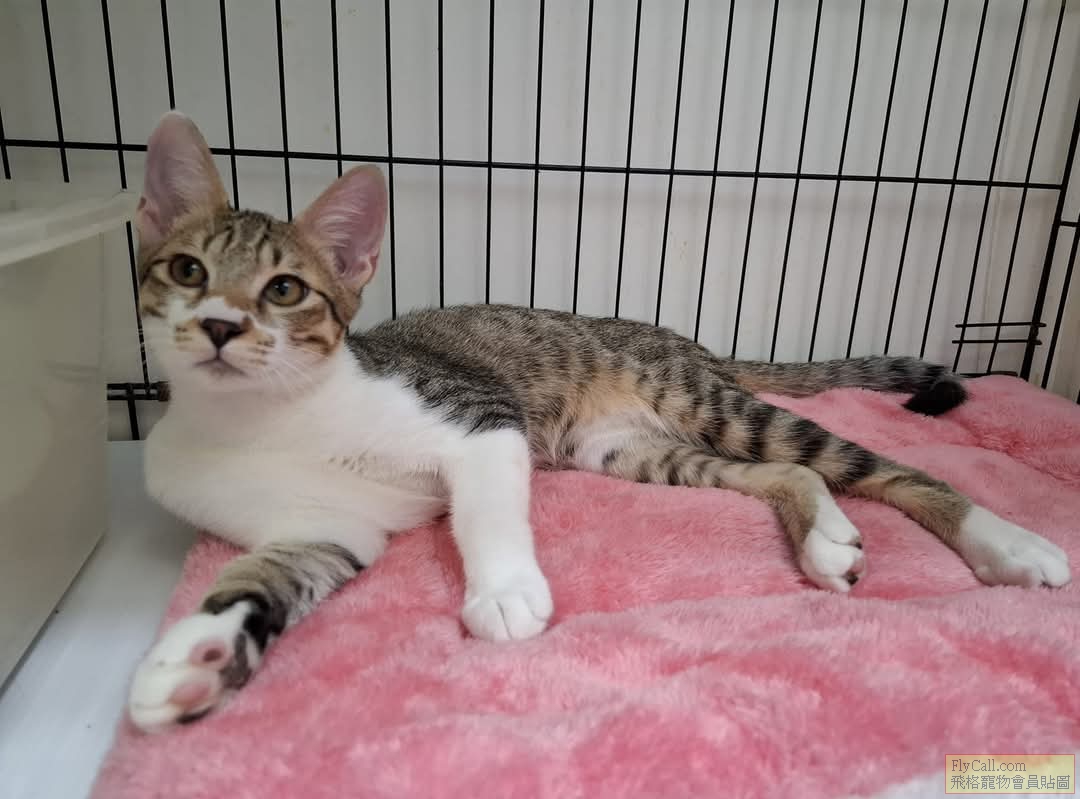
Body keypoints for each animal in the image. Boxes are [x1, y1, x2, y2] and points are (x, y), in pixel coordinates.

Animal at [127, 112, 1070, 733]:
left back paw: (1010, 544)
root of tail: (688, 341)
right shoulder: (325, 529)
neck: (268, 419)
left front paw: (504, 591)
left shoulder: (480, 414)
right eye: (186, 269)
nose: (221, 325)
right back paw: (826, 540)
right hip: (625, 447)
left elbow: (488, 507)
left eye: (285, 289)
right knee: (790, 468)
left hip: (702, 404)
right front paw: (195, 657)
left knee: (884, 464)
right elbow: (259, 579)